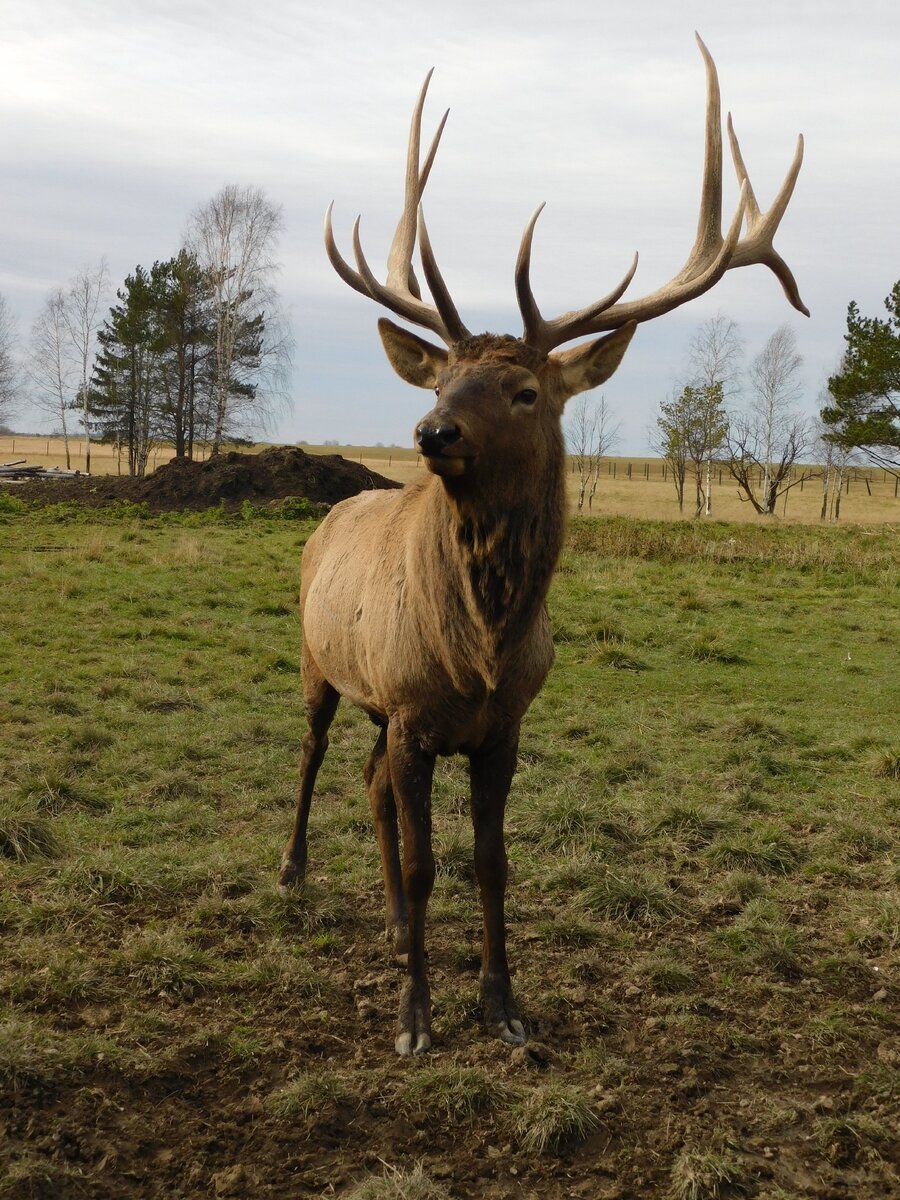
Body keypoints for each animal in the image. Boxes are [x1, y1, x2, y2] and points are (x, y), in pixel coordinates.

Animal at [278, 32, 806, 1056]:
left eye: (525, 391)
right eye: (440, 375)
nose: (431, 430)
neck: (479, 653)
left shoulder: (503, 725)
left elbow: (490, 862)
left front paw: (503, 1007)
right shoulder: (413, 711)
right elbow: (432, 860)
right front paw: (415, 1019)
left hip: (376, 702)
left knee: (368, 782)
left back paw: (391, 921)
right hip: (321, 662)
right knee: (316, 753)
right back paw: (291, 874)